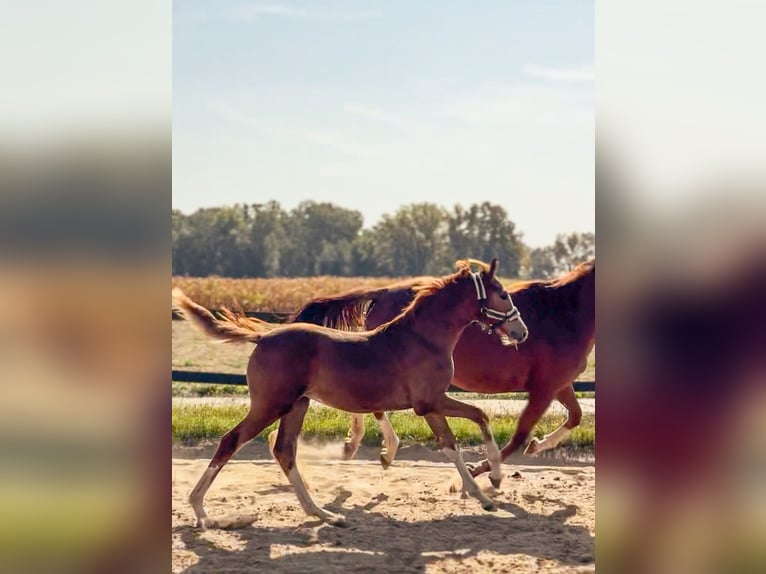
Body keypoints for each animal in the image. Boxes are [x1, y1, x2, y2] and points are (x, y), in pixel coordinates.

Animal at [173, 260, 528, 532]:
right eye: (503, 294)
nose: (521, 332)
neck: (423, 338)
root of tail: (264, 337)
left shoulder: (430, 407)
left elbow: (456, 440)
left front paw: (487, 490)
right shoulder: (429, 403)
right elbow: (476, 421)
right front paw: (492, 483)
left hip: (296, 406)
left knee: (284, 450)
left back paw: (325, 514)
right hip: (271, 405)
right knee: (231, 442)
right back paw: (201, 512)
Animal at [292, 260, 596, 476]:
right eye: (502, 295)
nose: (521, 332)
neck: (565, 313)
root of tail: (382, 292)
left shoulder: (559, 384)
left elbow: (575, 416)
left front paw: (537, 446)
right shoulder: (544, 387)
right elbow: (519, 436)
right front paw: (481, 472)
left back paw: (357, 446)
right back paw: (384, 448)